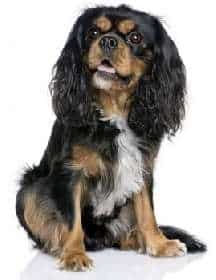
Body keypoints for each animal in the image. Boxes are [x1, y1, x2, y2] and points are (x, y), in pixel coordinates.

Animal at [15, 4, 206, 272]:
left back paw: (136, 239)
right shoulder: (71, 171)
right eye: (93, 32)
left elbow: (147, 211)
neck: (114, 111)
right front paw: (73, 254)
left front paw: (158, 244)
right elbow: (72, 219)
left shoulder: (141, 167)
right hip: (29, 189)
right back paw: (59, 245)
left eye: (135, 38)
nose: (108, 41)